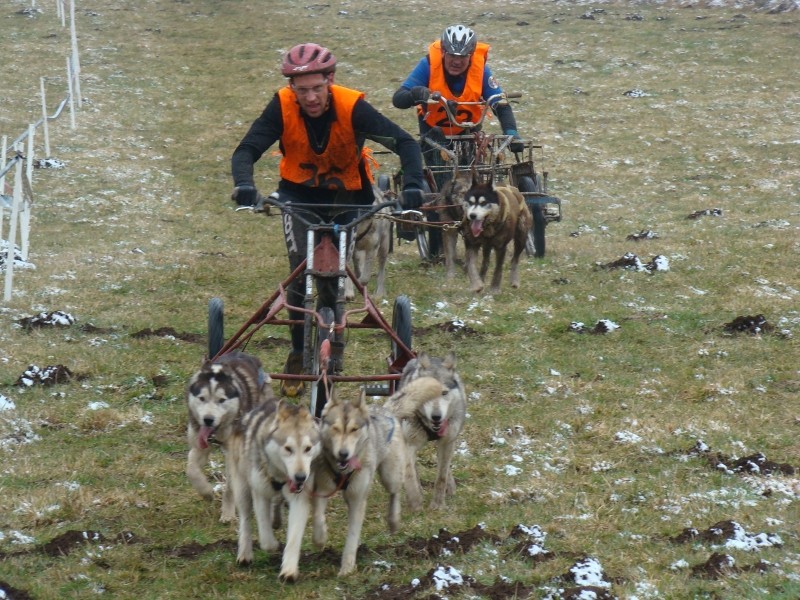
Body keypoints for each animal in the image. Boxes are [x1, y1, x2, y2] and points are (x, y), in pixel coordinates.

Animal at [186, 352, 274, 520]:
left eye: (222, 400)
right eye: (202, 398)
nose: (208, 419)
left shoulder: (233, 453)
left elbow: (230, 487)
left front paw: (228, 514)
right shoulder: (199, 445)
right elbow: (191, 469)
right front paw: (206, 492)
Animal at [230, 398, 320, 580]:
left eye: (308, 448)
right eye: (288, 448)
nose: (301, 477)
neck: (280, 477)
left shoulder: (300, 499)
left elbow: (294, 537)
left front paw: (289, 571)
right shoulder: (259, 493)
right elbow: (265, 539)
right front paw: (274, 545)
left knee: (276, 505)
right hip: (242, 490)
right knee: (245, 520)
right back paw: (244, 554)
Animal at [312, 386, 406, 576]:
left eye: (354, 429)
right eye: (335, 428)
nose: (343, 454)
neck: (343, 471)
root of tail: (385, 410)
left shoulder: (357, 500)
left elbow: (353, 536)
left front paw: (347, 567)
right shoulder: (322, 489)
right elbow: (318, 516)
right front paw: (320, 538)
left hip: (389, 475)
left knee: (395, 492)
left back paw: (393, 520)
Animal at [394, 352, 468, 510]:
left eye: (444, 392)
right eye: (426, 393)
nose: (436, 416)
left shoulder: (447, 443)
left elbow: (441, 477)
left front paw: (438, 506)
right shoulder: (409, 445)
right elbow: (410, 475)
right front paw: (416, 502)